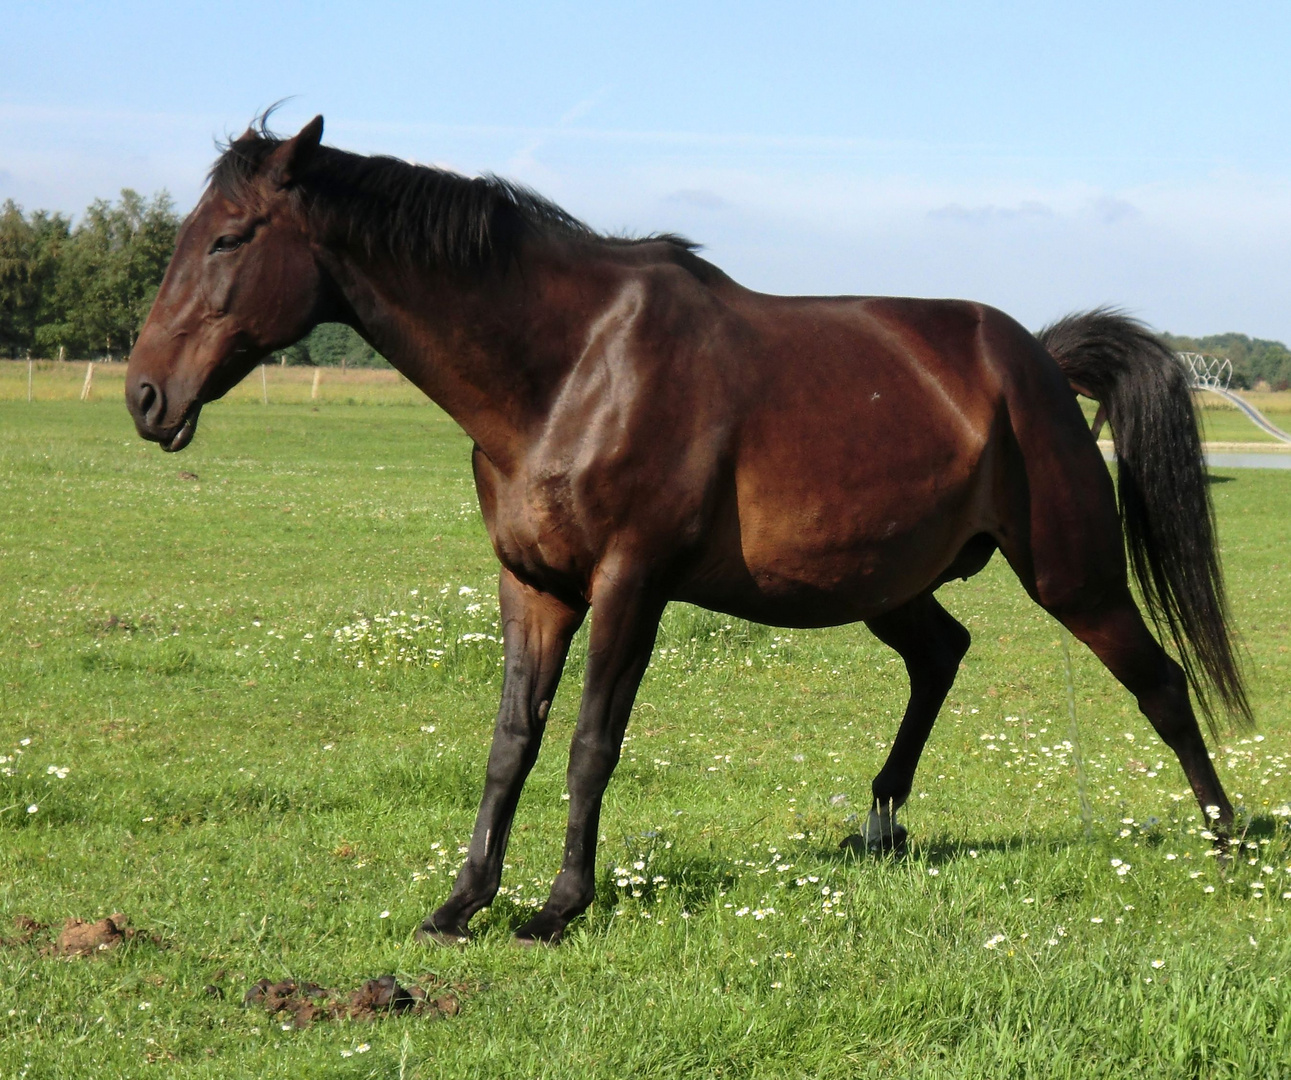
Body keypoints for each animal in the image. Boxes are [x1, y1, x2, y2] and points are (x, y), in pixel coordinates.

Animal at [125, 120, 1244, 944]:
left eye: (228, 239)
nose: (145, 396)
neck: (570, 369)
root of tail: (1039, 360)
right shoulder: (532, 587)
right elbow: (510, 743)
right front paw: (461, 901)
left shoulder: (630, 583)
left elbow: (589, 743)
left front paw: (556, 908)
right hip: (886, 585)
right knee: (940, 654)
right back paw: (878, 826)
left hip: (1072, 573)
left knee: (1158, 681)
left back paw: (1226, 841)